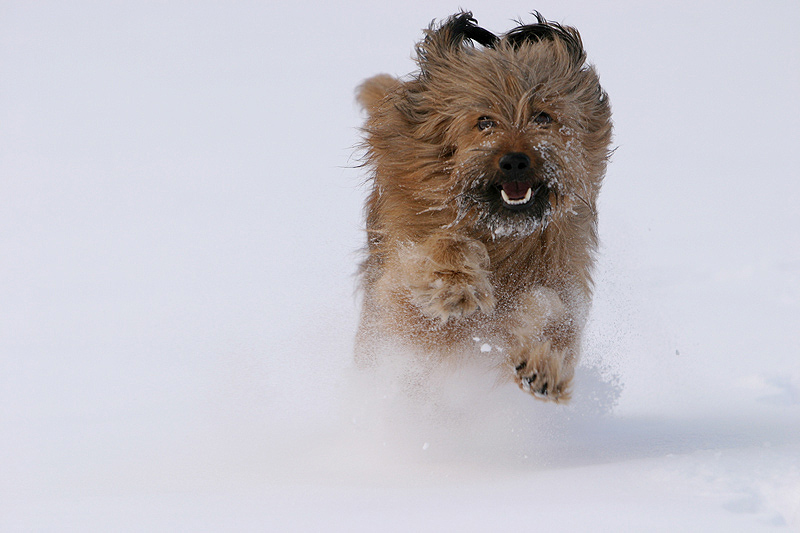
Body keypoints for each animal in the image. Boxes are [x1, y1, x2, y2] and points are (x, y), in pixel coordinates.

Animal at [356, 11, 612, 400]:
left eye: (543, 116)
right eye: (484, 121)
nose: (515, 161)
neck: (500, 233)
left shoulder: (563, 271)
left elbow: (555, 308)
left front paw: (545, 360)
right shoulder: (404, 297)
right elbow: (441, 248)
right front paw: (457, 284)